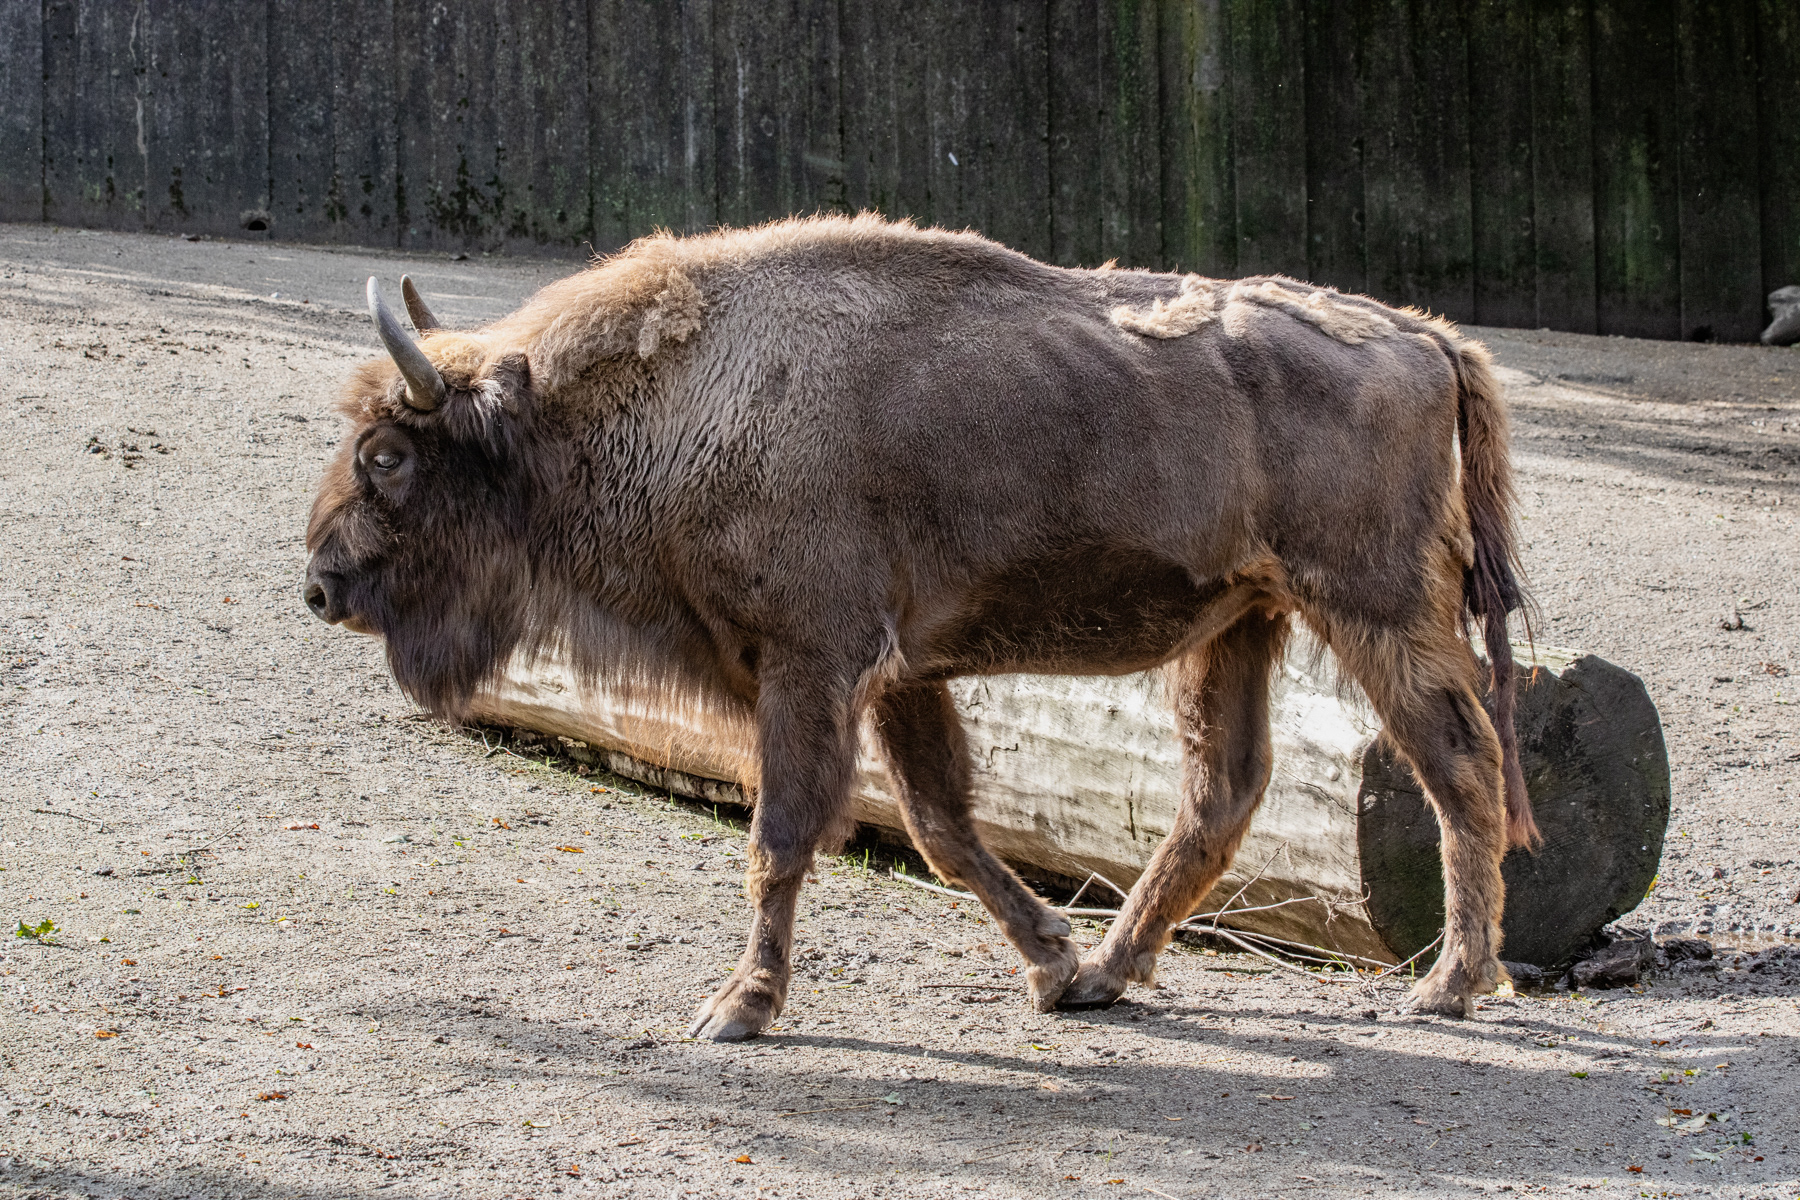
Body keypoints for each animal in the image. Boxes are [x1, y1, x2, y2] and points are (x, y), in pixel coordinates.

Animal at [304, 214, 1536, 1040]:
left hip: (1372, 607)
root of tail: (1425, 337)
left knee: (1457, 761)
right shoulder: (900, 674)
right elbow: (941, 823)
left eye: (389, 456)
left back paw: (1448, 986)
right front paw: (1048, 965)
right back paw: (1109, 973)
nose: (320, 585)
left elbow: (785, 834)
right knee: (1222, 792)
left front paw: (738, 1007)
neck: (690, 389)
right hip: (1241, 622)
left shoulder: (812, 664)